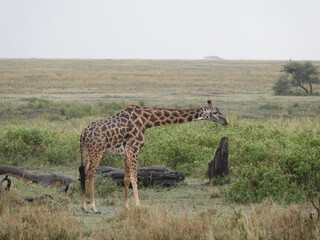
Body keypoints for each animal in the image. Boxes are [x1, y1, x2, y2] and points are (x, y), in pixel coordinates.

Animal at [78, 100, 226, 213]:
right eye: (214, 112)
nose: (225, 121)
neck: (146, 121)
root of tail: (83, 135)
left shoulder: (126, 153)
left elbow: (126, 178)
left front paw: (126, 206)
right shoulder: (134, 149)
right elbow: (134, 177)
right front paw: (138, 205)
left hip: (87, 152)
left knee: (84, 173)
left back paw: (83, 207)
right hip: (97, 151)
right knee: (92, 174)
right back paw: (93, 207)